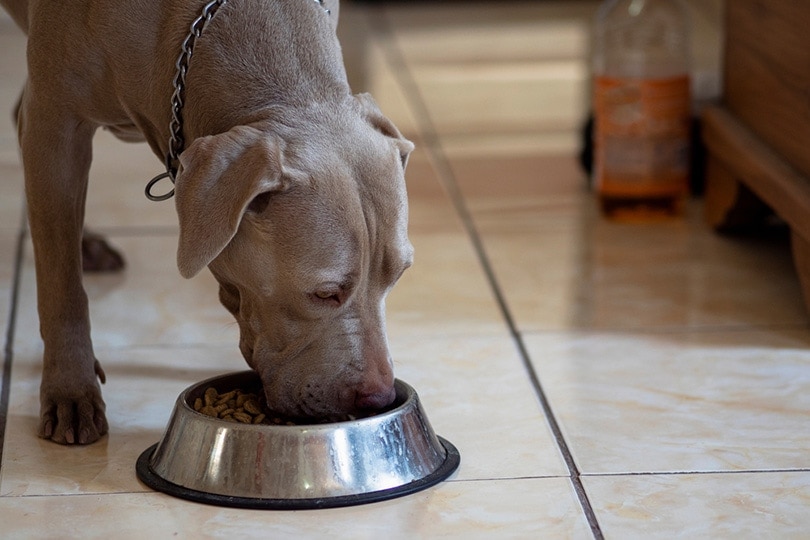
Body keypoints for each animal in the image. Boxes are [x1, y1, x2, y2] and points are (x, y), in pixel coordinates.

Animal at [1, 0, 410, 446]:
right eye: (324, 294)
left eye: (397, 277)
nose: (378, 397)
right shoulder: (56, 126)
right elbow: (62, 284)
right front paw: (71, 390)